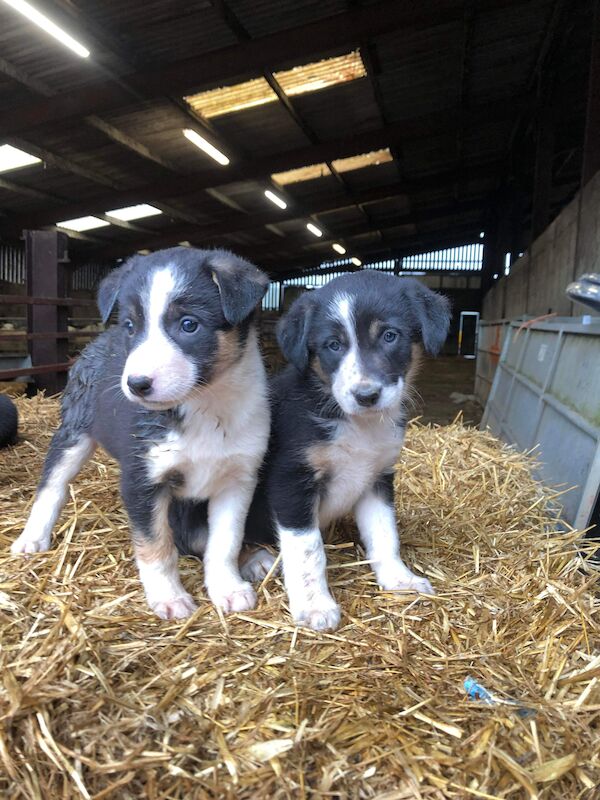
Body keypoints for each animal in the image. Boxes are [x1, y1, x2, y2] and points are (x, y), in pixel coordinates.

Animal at [11, 247, 270, 620]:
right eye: (132, 326)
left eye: (189, 324)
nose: (137, 384)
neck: (204, 406)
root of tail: (99, 339)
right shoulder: (142, 479)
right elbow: (155, 546)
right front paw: (169, 597)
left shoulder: (238, 480)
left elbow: (224, 542)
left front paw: (228, 587)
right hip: (74, 429)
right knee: (52, 485)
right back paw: (32, 537)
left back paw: (256, 558)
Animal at [239, 270, 450, 632]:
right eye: (333, 345)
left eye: (390, 336)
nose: (366, 395)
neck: (358, 425)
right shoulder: (291, 479)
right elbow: (307, 549)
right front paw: (314, 605)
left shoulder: (377, 477)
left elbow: (385, 534)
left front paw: (400, 579)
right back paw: (257, 559)